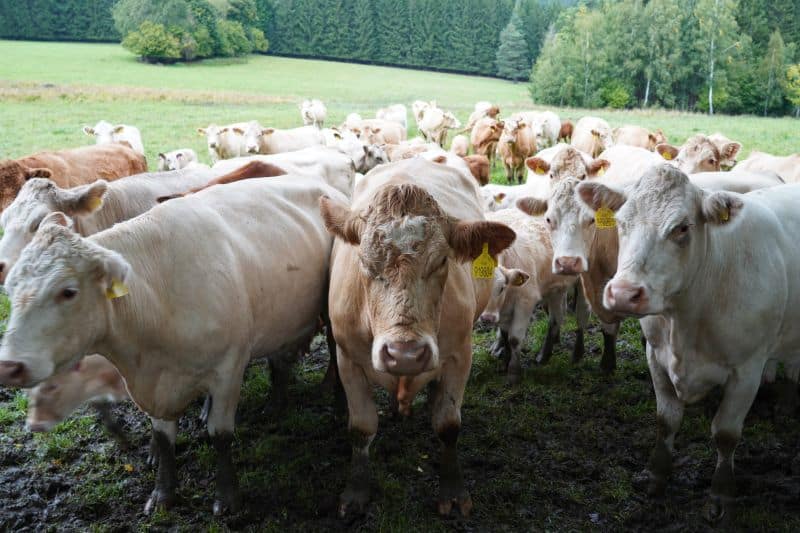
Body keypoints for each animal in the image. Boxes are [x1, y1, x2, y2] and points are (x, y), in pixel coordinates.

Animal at [0, 175, 349, 515]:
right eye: (12, 286)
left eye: (68, 291)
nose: (9, 366)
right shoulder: (156, 382)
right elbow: (163, 438)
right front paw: (163, 493)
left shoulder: (228, 369)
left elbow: (220, 434)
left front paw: (227, 497)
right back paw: (276, 404)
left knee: (337, 356)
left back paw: (339, 407)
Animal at [320, 157, 515, 518]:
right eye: (365, 262)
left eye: (441, 261)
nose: (405, 354)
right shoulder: (348, 359)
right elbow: (361, 428)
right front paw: (356, 491)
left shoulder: (460, 354)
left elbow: (448, 424)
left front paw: (452, 490)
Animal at [480, 208, 587, 383]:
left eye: (501, 287)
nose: (487, 318)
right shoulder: (504, 310)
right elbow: (505, 334)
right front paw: (505, 362)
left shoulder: (526, 301)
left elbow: (514, 339)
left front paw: (513, 372)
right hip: (556, 289)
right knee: (556, 318)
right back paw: (545, 354)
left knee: (581, 317)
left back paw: (577, 353)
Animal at [575, 164, 800, 522]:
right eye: (621, 222)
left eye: (682, 227)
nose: (623, 293)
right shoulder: (656, 356)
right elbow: (666, 421)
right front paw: (656, 476)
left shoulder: (746, 369)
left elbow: (726, 433)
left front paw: (721, 494)